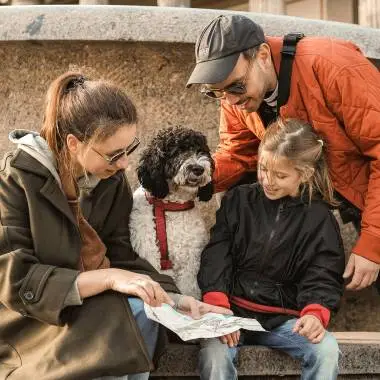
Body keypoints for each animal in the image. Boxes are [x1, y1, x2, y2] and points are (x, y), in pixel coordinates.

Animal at [130, 126, 214, 298]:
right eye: (177, 151)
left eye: (201, 150)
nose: (198, 169)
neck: (172, 207)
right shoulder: (153, 258)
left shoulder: (190, 261)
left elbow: (189, 289)